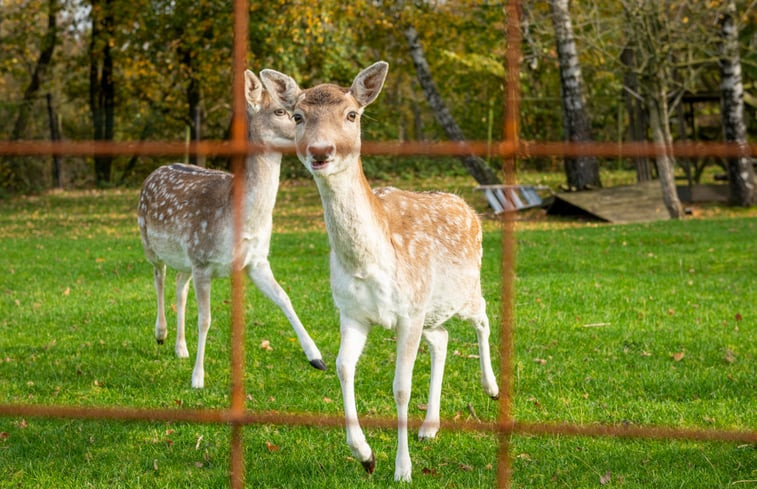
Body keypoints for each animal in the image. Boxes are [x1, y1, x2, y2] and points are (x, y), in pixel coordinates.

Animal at [138, 69, 324, 388]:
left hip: (185, 258)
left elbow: (285, 297)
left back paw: (180, 348)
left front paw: (316, 357)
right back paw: (161, 334)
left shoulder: (256, 260)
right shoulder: (203, 260)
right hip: (149, 239)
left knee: (179, 286)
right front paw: (198, 378)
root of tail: (156, 170)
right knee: (159, 275)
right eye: (281, 111)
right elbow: (206, 319)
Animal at [262, 61, 500, 480]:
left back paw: (491, 388)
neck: (366, 264)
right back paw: (429, 427)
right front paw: (365, 454)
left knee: (484, 315)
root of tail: (467, 206)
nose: (320, 151)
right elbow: (342, 368)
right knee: (442, 339)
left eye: (352, 114)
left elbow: (401, 387)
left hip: (462, 290)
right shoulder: (352, 312)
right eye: (297, 116)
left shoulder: (409, 311)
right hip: (431, 310)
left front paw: (402, 469)